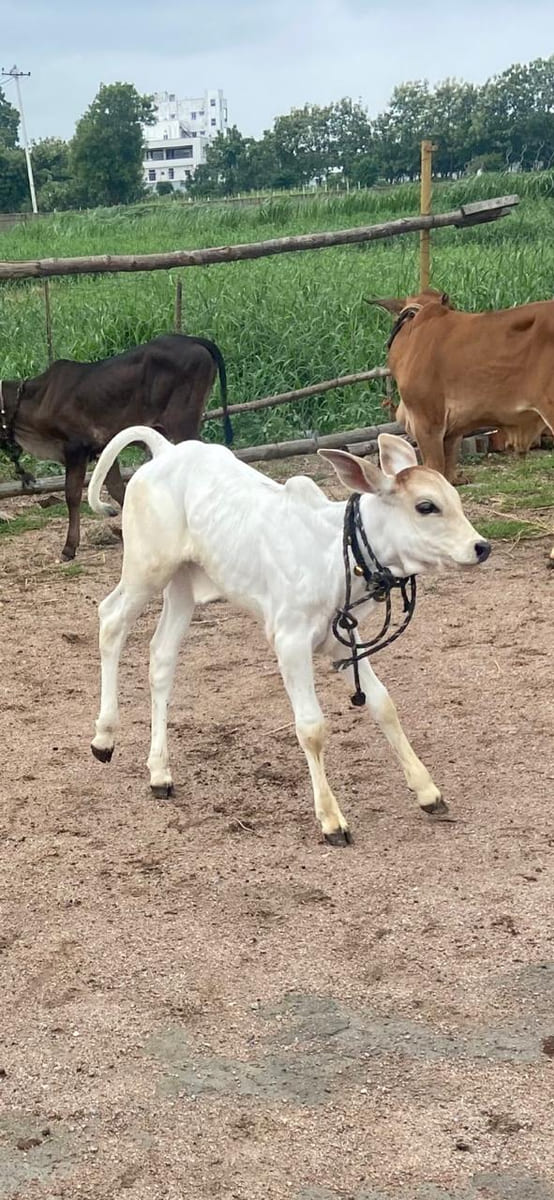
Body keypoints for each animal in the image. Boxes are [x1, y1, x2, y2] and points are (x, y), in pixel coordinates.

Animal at [0, 333, 232, 560]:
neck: (36, 400)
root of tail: (193, 339)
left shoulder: (75, 448)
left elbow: (72, 494)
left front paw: (69, 547)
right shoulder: (104, 448)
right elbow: (117, 488)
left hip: (182, 422)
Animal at [87, 425, 490, 845]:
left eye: (453, 498)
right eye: (426, 506)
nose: (481, 547)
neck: (333, 554)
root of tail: (165, 451)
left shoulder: (343, 640)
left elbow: (383, 704)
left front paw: (427, 790)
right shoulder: (291, 642)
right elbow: (311, 727)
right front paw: (331, 819)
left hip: (182, 583)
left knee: (161, 656)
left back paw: (160, 773)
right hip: (146, 569)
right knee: (111, 620)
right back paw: (104, 738)